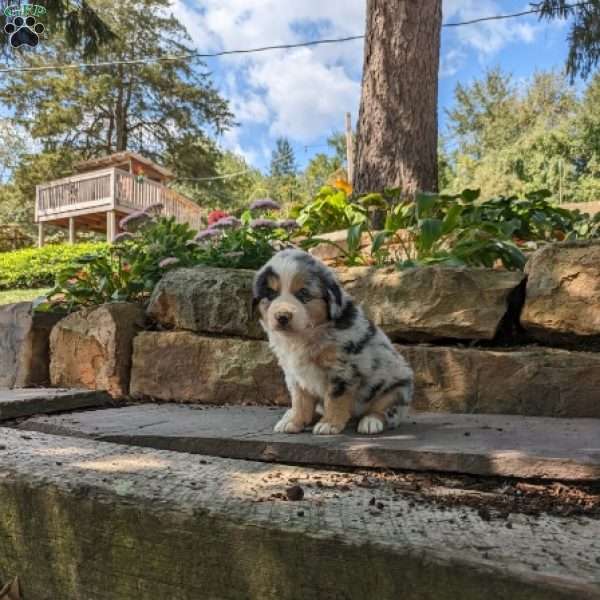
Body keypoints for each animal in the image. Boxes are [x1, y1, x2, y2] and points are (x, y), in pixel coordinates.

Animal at [252, 248, 412, 436]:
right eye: (271, 294)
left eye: (303, 294)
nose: (282, 316)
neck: (304, 336)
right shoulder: (294, 374)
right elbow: (300, 400)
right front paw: (294, 421)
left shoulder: (342, 369)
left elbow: (335, 399)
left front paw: (328, 424)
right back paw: (290, 415)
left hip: (396, 386)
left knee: (385, 410)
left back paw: (371, 422)